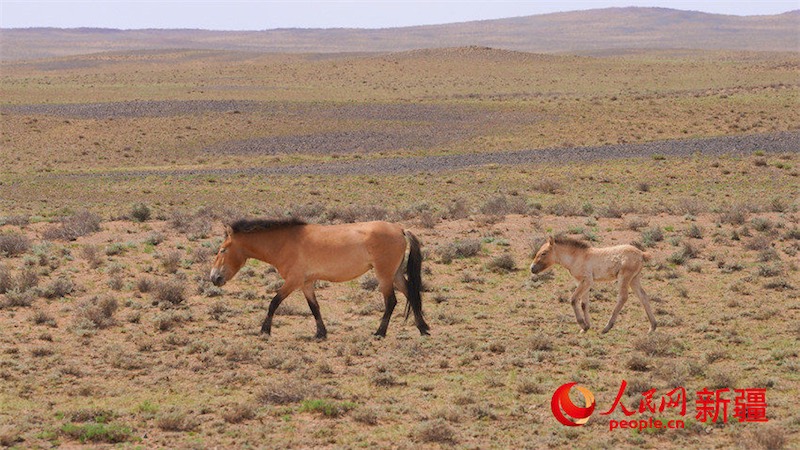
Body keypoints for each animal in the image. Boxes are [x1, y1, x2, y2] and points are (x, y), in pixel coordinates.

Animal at [209, 218, 429, 339]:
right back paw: (423, 328)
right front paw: (321, 333)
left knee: (391, 301)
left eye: (222, 250)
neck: (284, 242)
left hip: (384, 274)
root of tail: (400, 229)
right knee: (411, 293)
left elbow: (274, 302)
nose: (214, 277)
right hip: (396, 274)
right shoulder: (306, 283)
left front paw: (265, 330)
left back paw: (380, 333)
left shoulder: (293, 281)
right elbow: (314, 307)